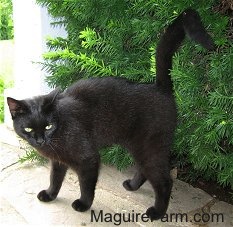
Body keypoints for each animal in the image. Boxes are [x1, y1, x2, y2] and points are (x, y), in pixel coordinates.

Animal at [7, 9, 215, 222]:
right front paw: (50, 195)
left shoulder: (88, 159)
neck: (60, 128)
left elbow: (86, 186)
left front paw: (83, 204)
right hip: (139, 146)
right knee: (144, 170)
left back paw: (157, 212)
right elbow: (55, 178)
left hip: (150, 146)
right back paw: (132, 185)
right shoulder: (58, 160)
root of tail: (160, 88)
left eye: (48, 126)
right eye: (28, 128)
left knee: (164, 181)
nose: (40, 140)